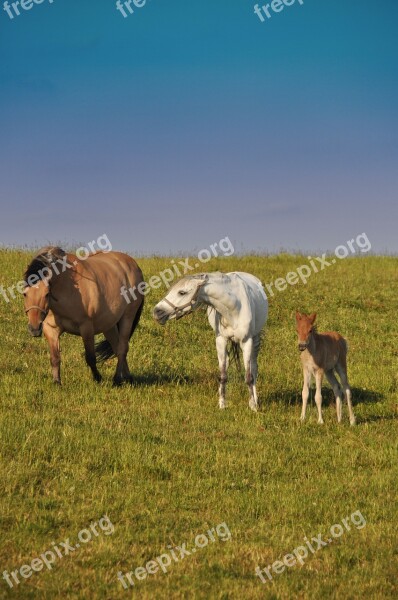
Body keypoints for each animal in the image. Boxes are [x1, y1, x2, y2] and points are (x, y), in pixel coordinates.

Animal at [23, 247, 145, 384]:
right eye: (25, 294)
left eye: (46, 294)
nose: (34, 328)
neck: (66, 286)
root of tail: (134, 265)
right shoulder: (50, 329)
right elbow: (55, 358)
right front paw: (57, 382)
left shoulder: (86, 327)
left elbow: (90, 357)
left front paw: (98, 378)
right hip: (109, 325)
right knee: (116, 347)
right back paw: (128, 378)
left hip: (127, 318)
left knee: (122, 347)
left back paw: (117, 379)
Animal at [152, 274, 268, 410]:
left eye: (182, 292)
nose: (157, 311)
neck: (234, 307)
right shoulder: (221, 340)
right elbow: (222, 376)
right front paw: (222, 405)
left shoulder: (246, 341)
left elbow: (249, 377)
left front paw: (253, 406)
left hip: (255, 340)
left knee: (254, 368)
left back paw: (255, 400)